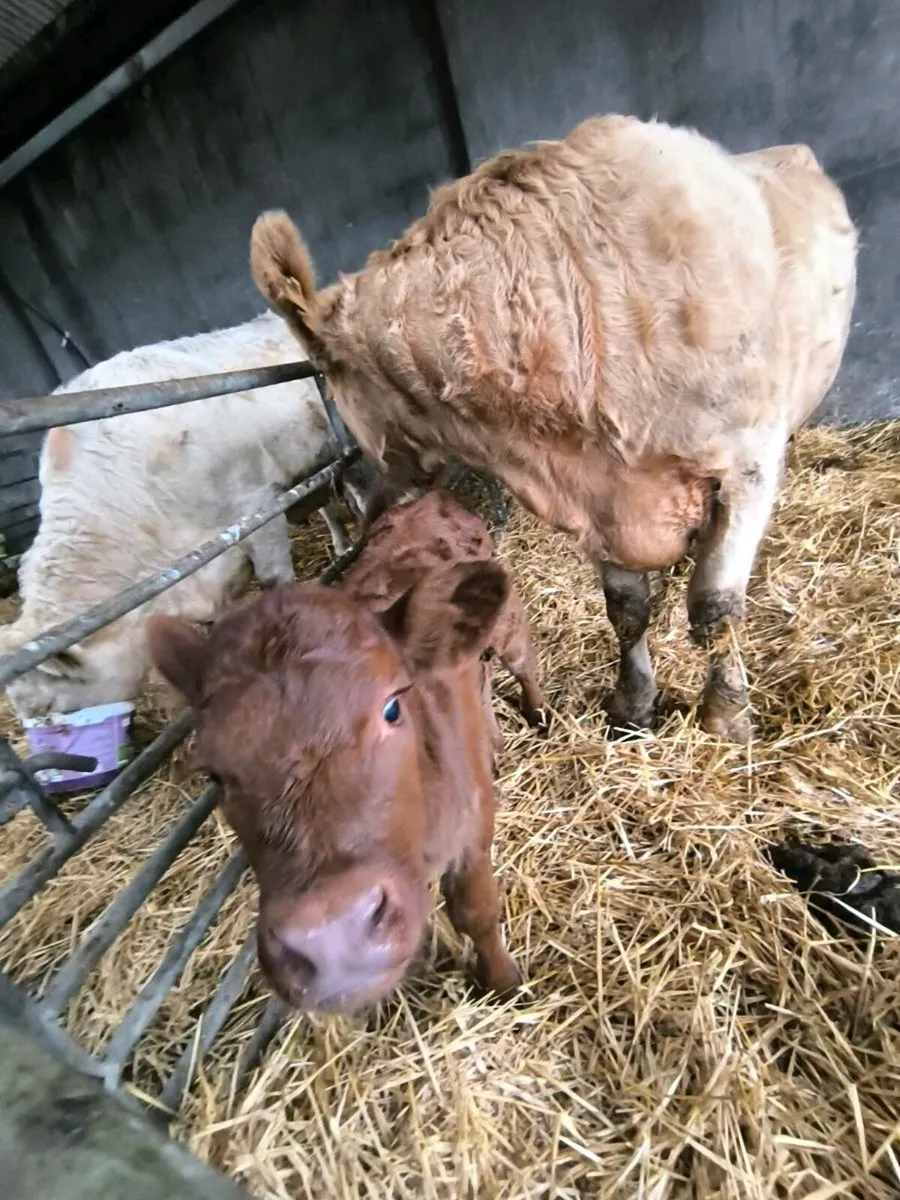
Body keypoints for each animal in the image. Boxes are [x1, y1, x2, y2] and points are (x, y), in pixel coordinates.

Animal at [145, 492, 538, 1012]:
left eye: (392, 707)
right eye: (214, 775)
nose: (331, 940)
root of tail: (428, 498)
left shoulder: (474, 826)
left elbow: (477, 912)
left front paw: (503, 982)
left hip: (507, 627)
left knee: (520, 662)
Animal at [249, 115, 858, 743]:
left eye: (323, 380)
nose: (359, 500)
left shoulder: (745, 464)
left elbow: (715, 608)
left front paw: (725, 716)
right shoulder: (598, 497)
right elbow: (626, 610)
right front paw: (634, 706)